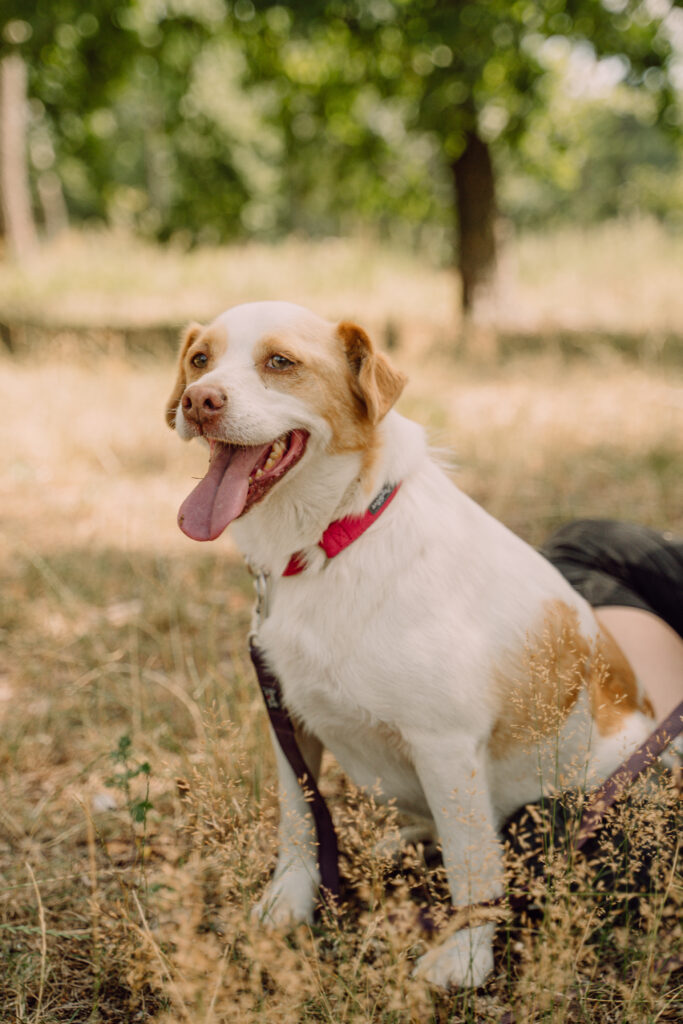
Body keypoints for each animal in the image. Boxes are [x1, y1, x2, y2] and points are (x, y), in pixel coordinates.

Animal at [166, 299, 655, 987]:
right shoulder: (289, 723)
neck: (333, 542)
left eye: (280, 362)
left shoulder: (444, 743)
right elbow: (300, 821)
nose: (199, 400)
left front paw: (465, 954)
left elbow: (471, 864)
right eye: (199, 360)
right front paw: (290, 900)